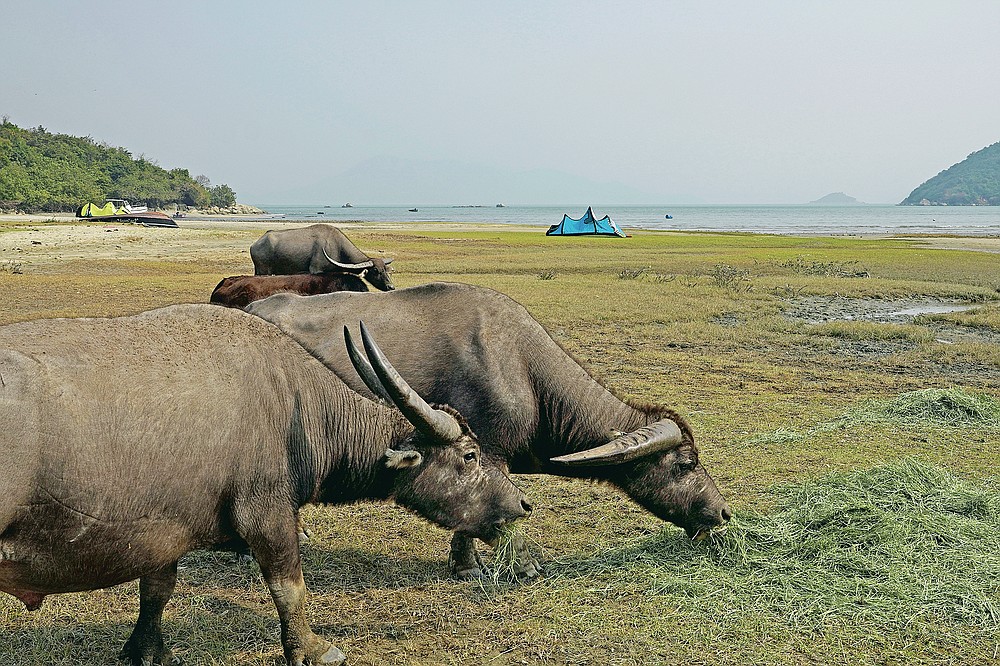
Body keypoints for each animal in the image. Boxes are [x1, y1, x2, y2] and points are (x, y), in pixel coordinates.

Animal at [0, 306, 532, 664]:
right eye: (470, 456)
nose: (522, 504)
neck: (295, 404)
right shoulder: (267, 512)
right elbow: (289, 585)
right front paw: (313, 649)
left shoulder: (162, 528)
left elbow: (157, 589)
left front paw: (147, 649)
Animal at [250, 224, 394, 290]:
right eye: (375, 270)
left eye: (386, 270)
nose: (391, 287)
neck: (337, 247)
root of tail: (255, 244)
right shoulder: (316, 270)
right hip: (263, 271)